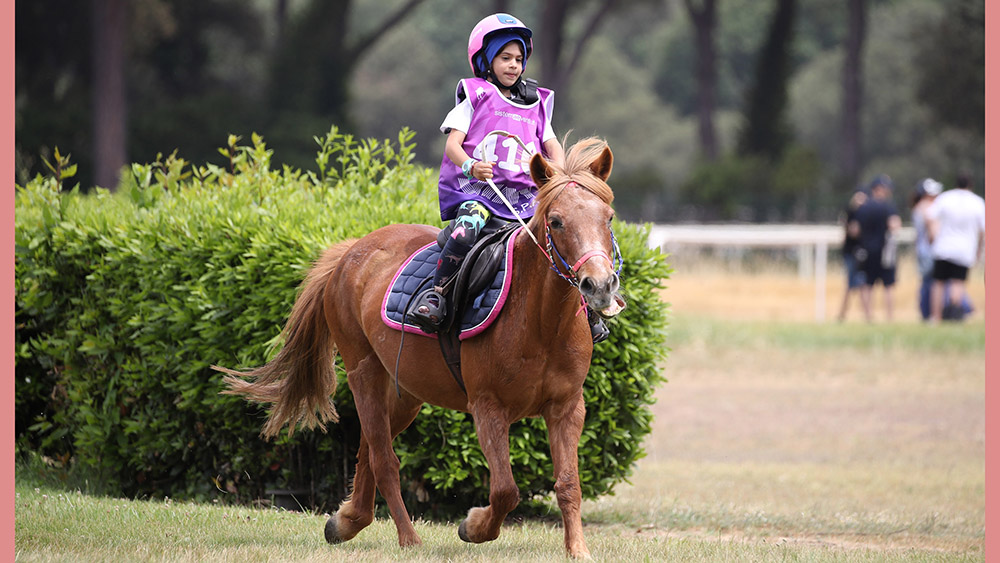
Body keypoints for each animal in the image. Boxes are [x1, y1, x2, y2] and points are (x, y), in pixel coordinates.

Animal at [216, 137, 622, 559]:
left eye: (608, 218)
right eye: (556, 221)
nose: (599, 285)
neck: (541, 323)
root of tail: (350, 252)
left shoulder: (567, 407)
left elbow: (568, 483)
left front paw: (578, 550)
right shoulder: (488, 407)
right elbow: (505, 490)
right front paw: (474, 526)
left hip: (406, 393)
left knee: (367, 450)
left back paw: (348, 521)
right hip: (364, 372)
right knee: (384, 459)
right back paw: (407, 538)